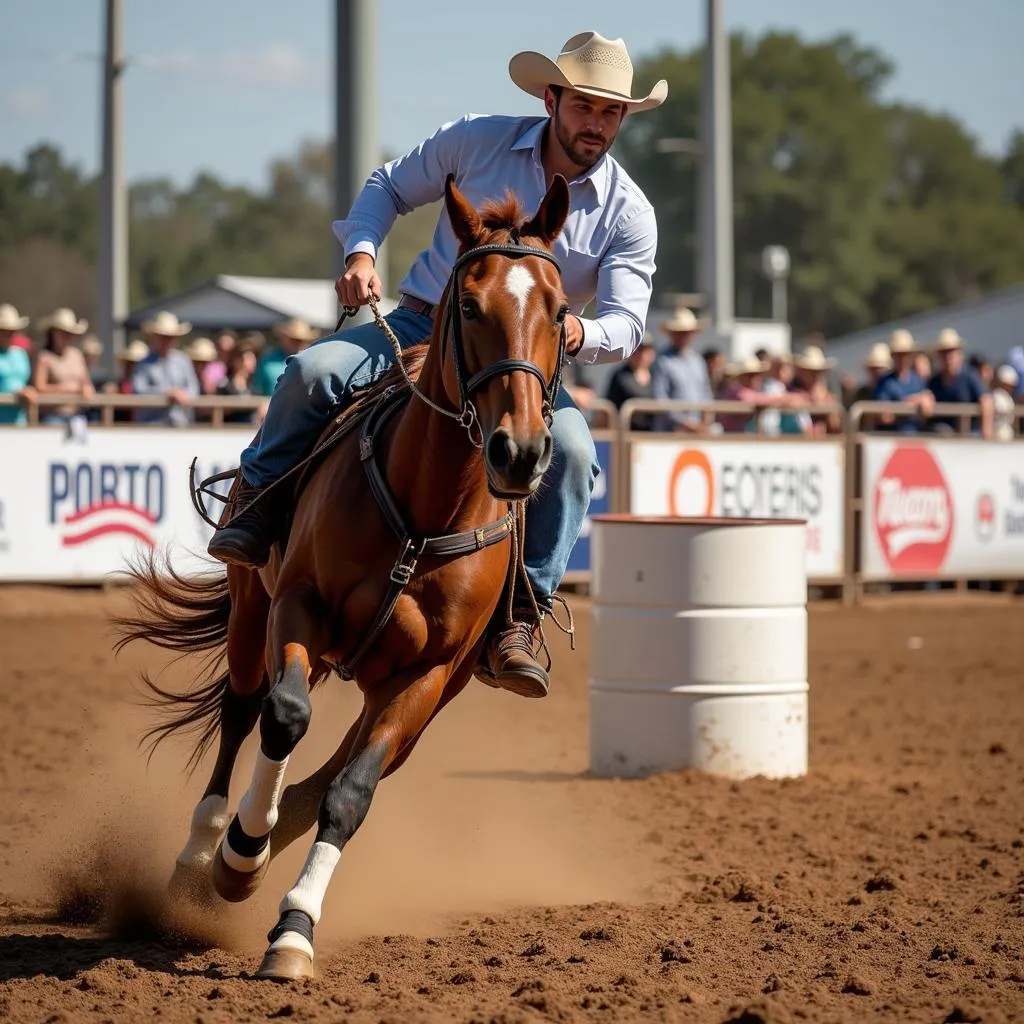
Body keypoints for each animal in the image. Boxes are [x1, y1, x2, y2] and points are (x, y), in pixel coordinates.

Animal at [117, 176, 577, 983]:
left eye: (558, 311)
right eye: (469, 305)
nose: (519, 452)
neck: (425, 512)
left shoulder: (429, 675)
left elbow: (350, 795)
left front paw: (293, 929)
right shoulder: (297, 608)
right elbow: (284, 716)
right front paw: (241, 851)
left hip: (416, 694)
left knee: (330, 775)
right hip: (250, 608)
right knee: (242, 712)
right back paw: (210, 853)